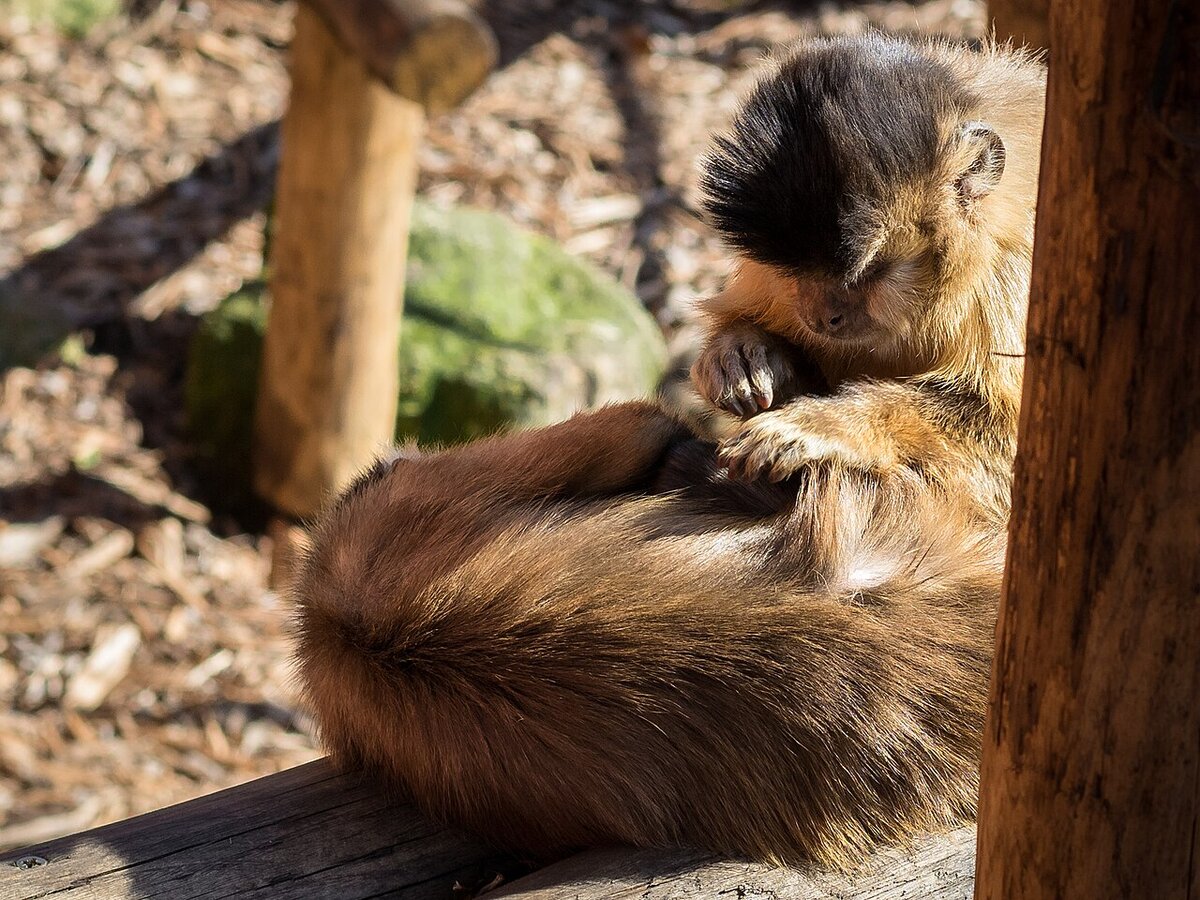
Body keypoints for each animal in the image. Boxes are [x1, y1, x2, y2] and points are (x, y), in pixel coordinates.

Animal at [291, 34, 1045, 869]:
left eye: (867, 275)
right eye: (809, 277)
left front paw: (822, 428)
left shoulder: (1014, 273)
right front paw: (747, 361)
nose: (825, 312)